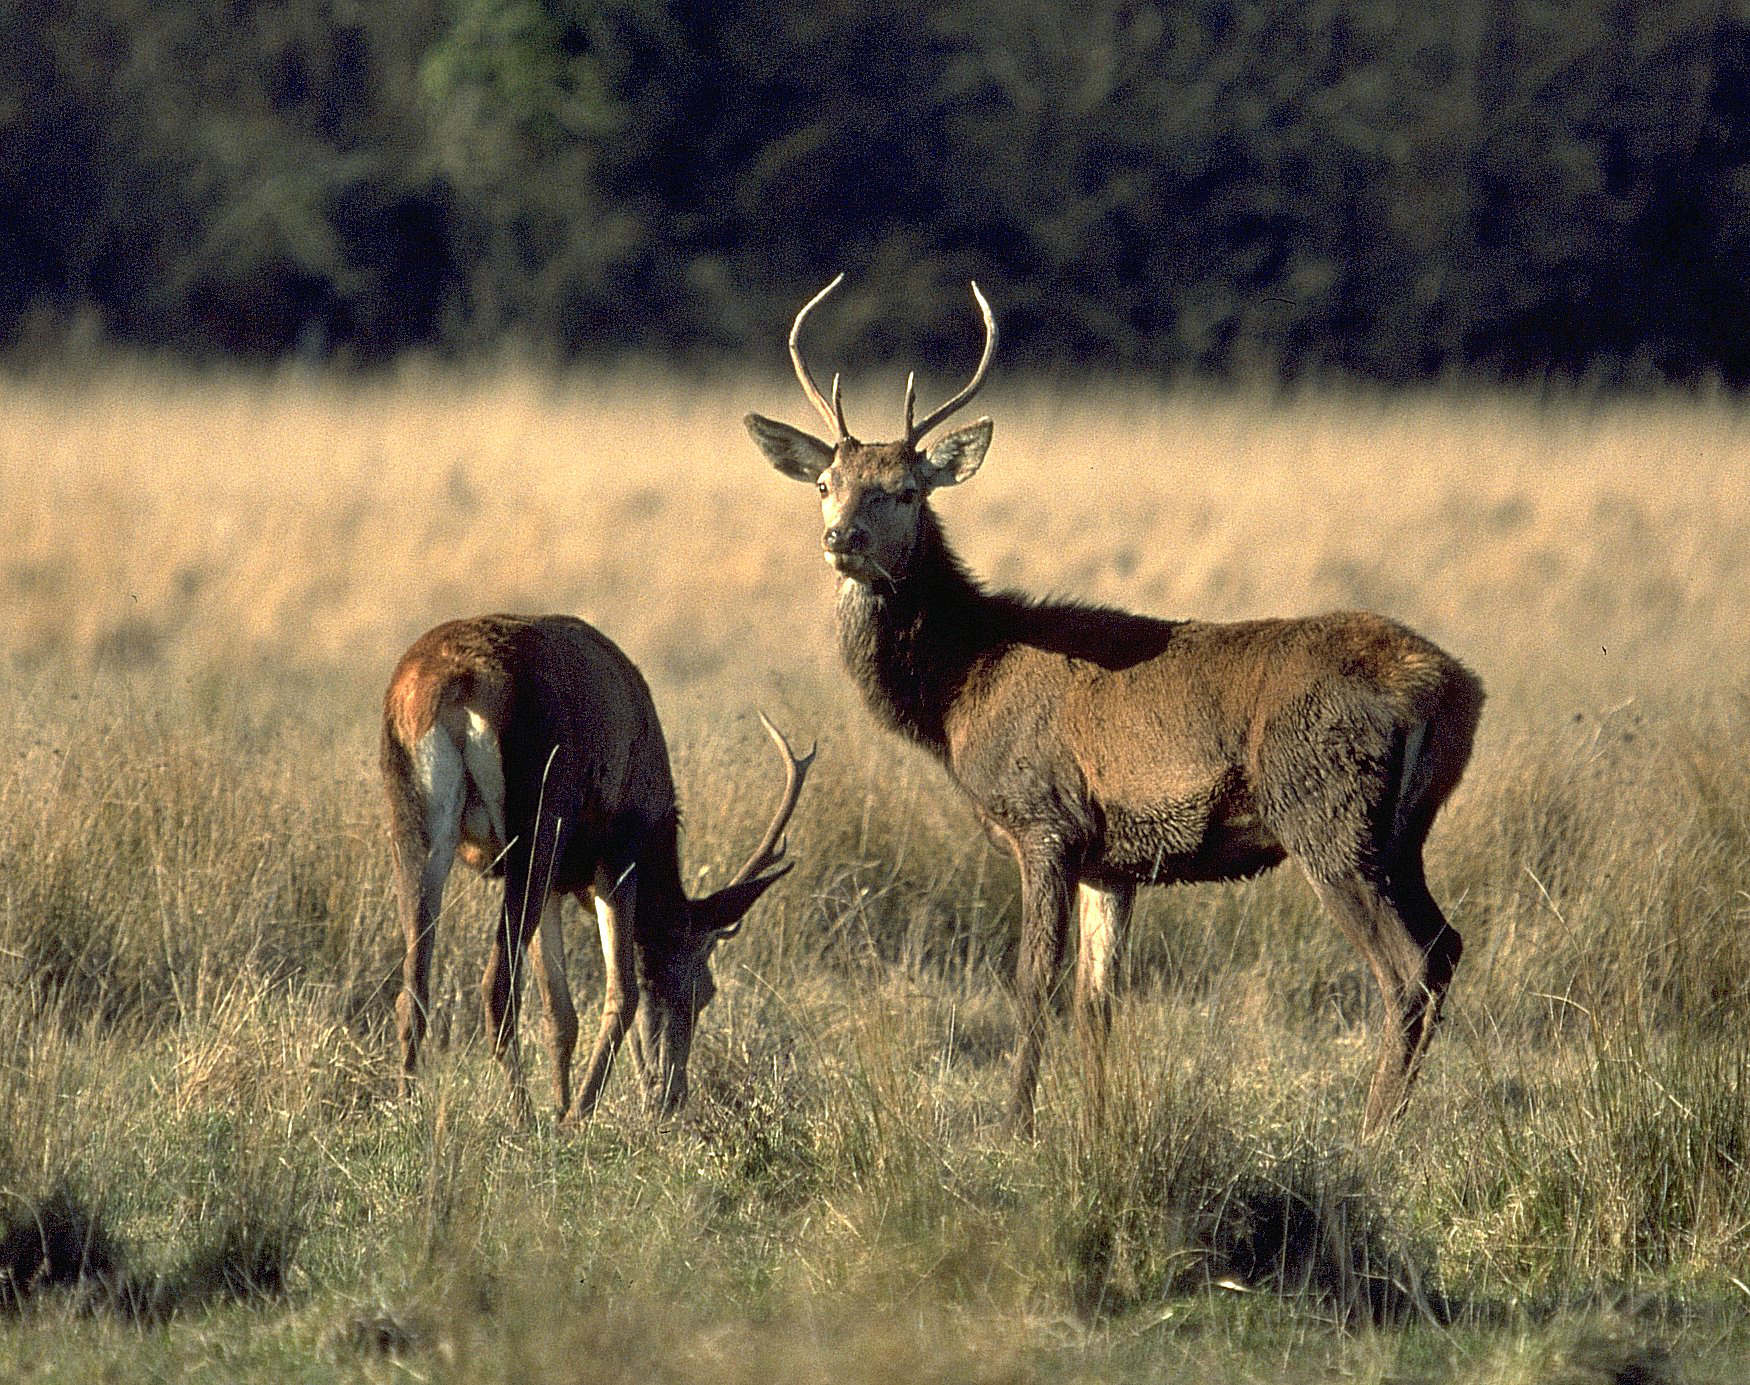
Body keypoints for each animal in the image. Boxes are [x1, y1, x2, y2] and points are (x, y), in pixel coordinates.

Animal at [379, 616, 808, 1127]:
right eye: (705, 989)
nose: (672, 1096)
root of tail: (456, 685)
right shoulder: (617, 855)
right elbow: (623, 992)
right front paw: (578, 1112)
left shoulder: (558, 885)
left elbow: (561, 1012)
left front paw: (563, 1104)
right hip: (537, 827)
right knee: (497, 986)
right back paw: (522, 1116)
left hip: (415, 830)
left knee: (412, 989)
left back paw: (407, 1109)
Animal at [745, 278, 1484, 1134]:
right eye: (825, 484)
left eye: (905, 490)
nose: (843, 539)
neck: (963, 688)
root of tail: (1452, 688)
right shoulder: (1112, 858)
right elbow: (1097, 1001)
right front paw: (1096, 1128)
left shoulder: (1044, 818)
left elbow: (1034, 982)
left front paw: (1015, 1125)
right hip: (1403, 830)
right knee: (1448, 944)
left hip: (1325, 812)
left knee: (1407, 966)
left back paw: (1372, 1131)